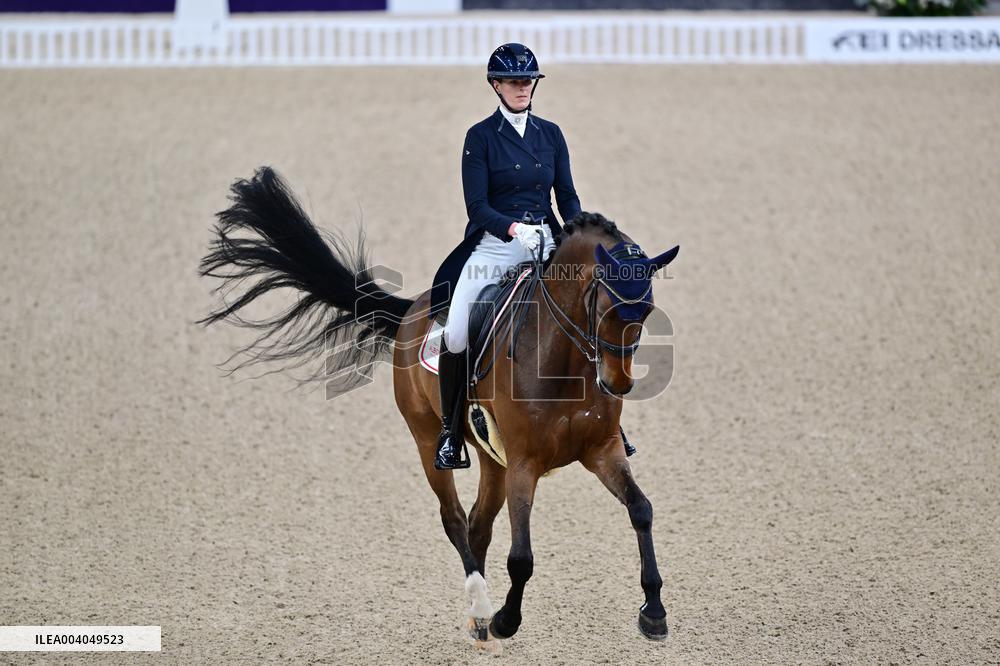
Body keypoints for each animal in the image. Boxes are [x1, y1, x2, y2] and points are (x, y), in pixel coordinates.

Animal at [199, 166, 680, 646]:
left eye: (647, 309)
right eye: (608, 307)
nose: (618, 383)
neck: (562, 362)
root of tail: (414, 308)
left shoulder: (601, 450)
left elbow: (642, 510)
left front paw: (654, 612)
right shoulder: (525, 462)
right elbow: (521, 556)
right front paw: (507, 620)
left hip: (492, 458)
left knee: (478, 523)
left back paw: (477, 615)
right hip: (429, 437)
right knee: (453, 518)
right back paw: (483, 610)